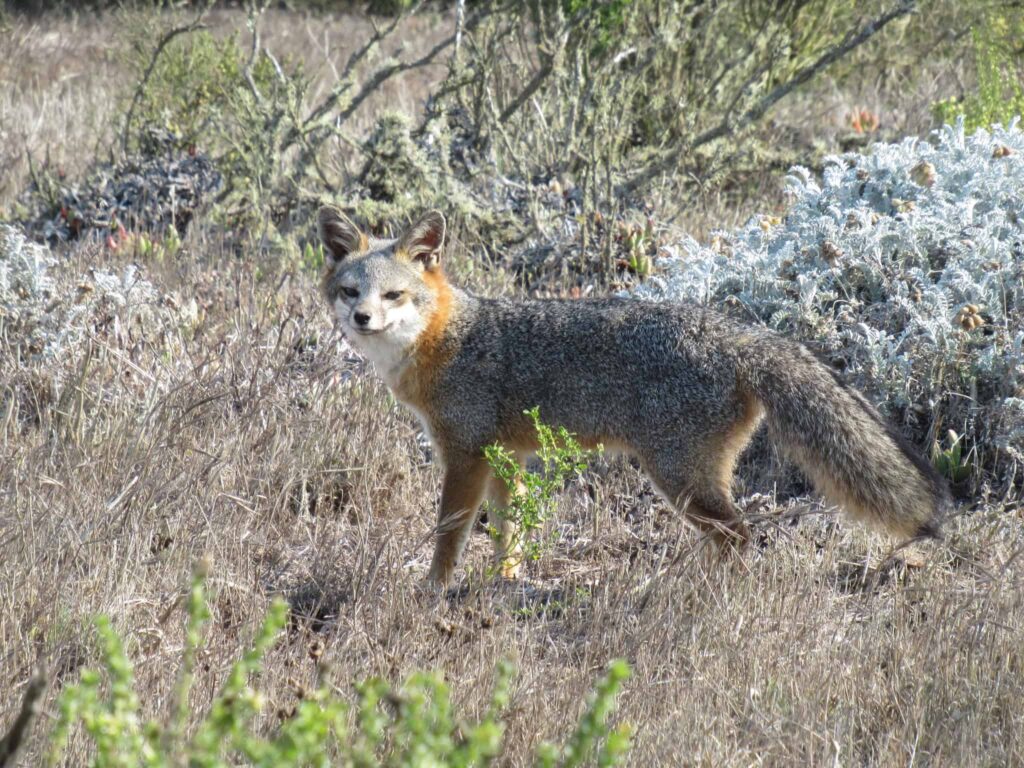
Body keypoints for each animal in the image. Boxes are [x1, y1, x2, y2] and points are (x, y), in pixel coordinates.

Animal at [317, 206, 952, 585]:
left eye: (394, 295)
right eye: (350, 291)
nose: (363, 318)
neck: (445, 338)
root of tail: (736, 333)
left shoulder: (465, 455)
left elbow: (450, 534)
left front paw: (433, 588)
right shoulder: (506, 457)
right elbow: (507, 533)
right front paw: (505, 581)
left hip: (677, 477)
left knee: (741, 536)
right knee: (734, 536)